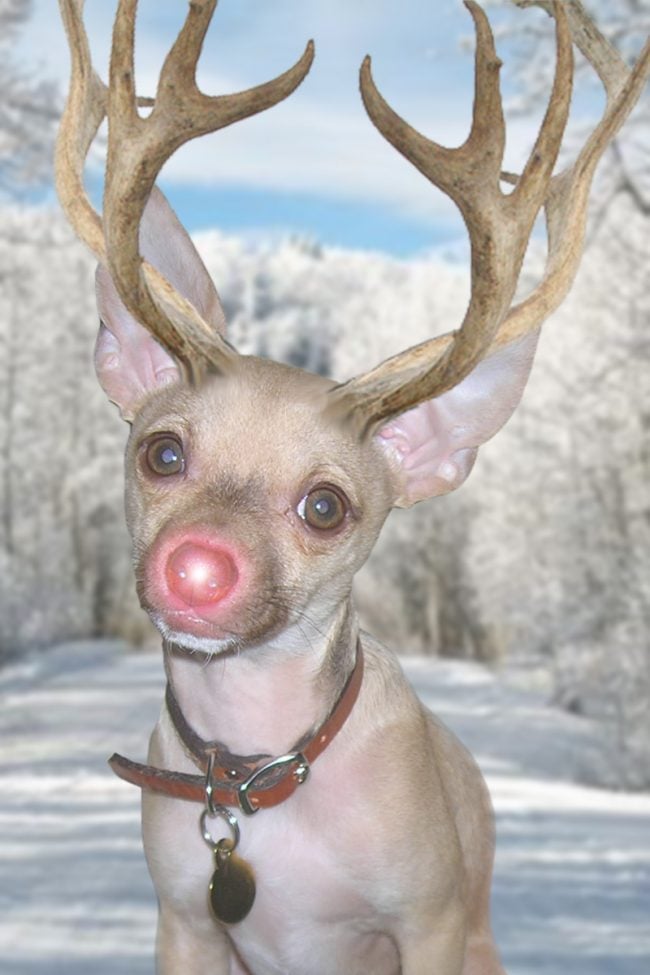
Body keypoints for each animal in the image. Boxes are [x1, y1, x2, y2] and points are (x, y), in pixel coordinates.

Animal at [54, 0, 649, 973]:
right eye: (163, 453)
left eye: (326, 505)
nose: (196, 567)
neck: (259, 775)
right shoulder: (183, 920)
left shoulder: (431, 919)